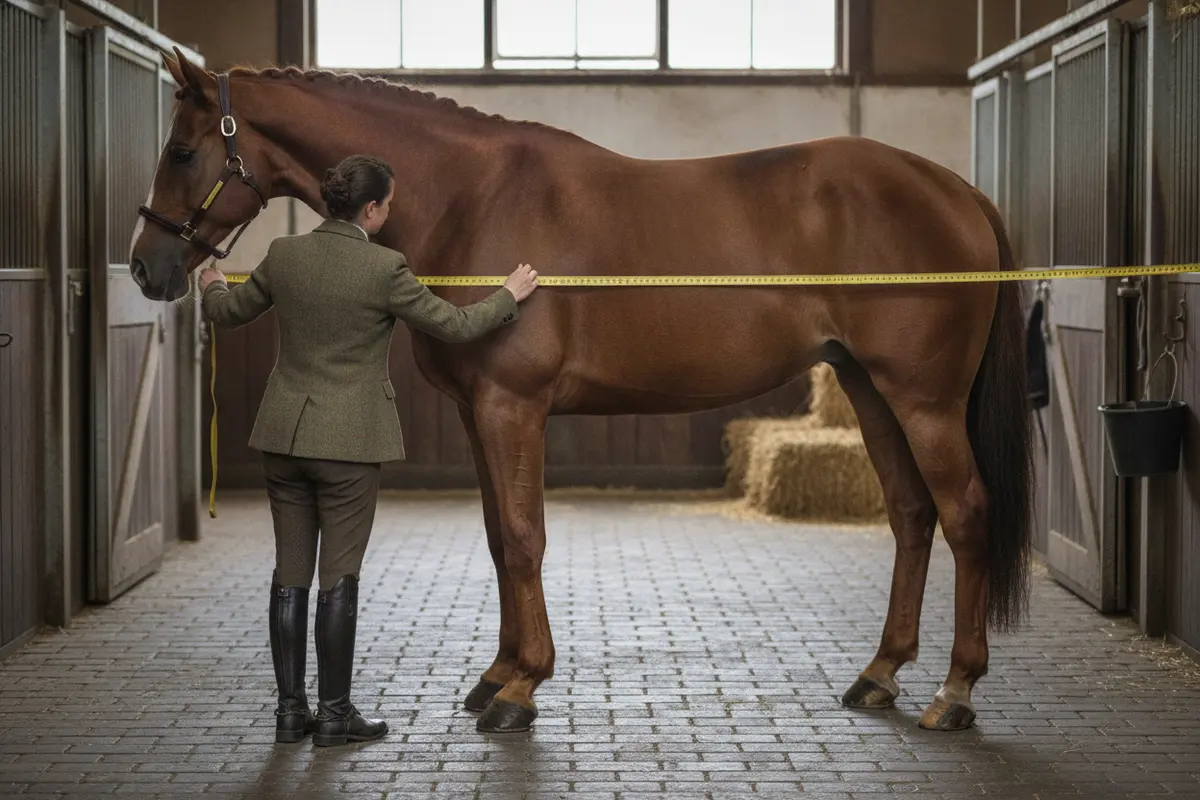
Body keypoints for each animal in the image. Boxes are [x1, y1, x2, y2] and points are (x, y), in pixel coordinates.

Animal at [129, 48, 1034, 735]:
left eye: (182, 152)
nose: (147, 267)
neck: (469, 196)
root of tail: (959, 192)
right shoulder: (477, 413)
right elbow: (499, 539)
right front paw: (496, 675)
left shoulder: (512, 407)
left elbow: (525, 536)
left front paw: (522, 687)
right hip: (870, 389)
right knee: (912, 515)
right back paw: (880, 673)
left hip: (923, 402)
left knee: (965, 513)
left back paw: (955, 692)